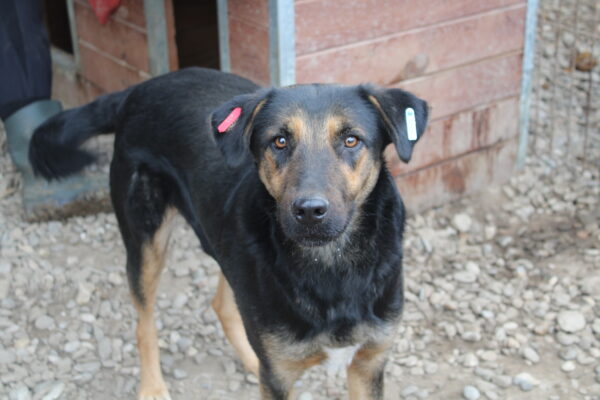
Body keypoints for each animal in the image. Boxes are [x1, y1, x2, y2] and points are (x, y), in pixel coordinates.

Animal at [30, 67, 428, 398]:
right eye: (279, 141)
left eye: (351, 140)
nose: (309, 212)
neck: (333, 267)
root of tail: (137, 89)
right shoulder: (280, 374)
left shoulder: (369, 363)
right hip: (145, 240)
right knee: (144, 323)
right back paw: (152, 387)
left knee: (223, 304)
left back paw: (250, 361)